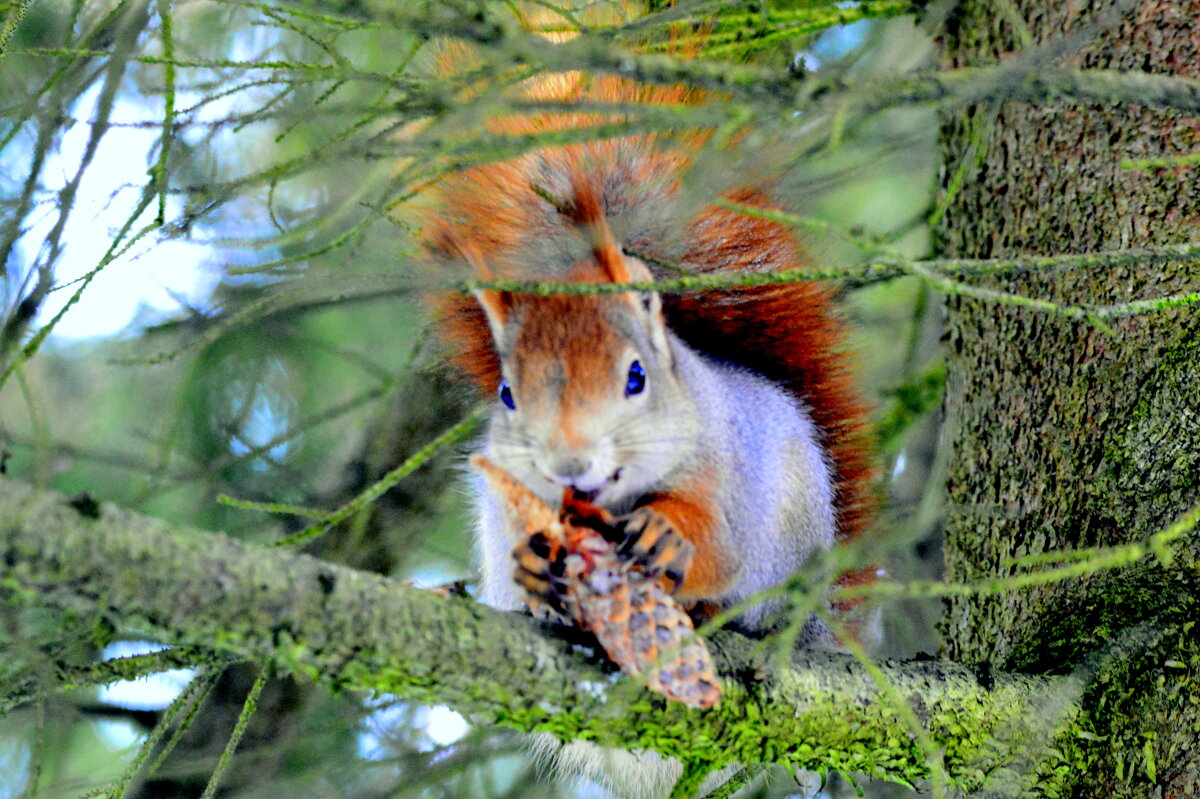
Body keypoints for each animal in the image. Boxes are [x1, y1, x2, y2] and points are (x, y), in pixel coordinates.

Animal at [427, 59, 878, 796]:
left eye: (636, 376)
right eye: (507, 393)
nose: (569, 463)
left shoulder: (727, 471)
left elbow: (718, 545)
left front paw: (669, 536)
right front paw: (536, 568)